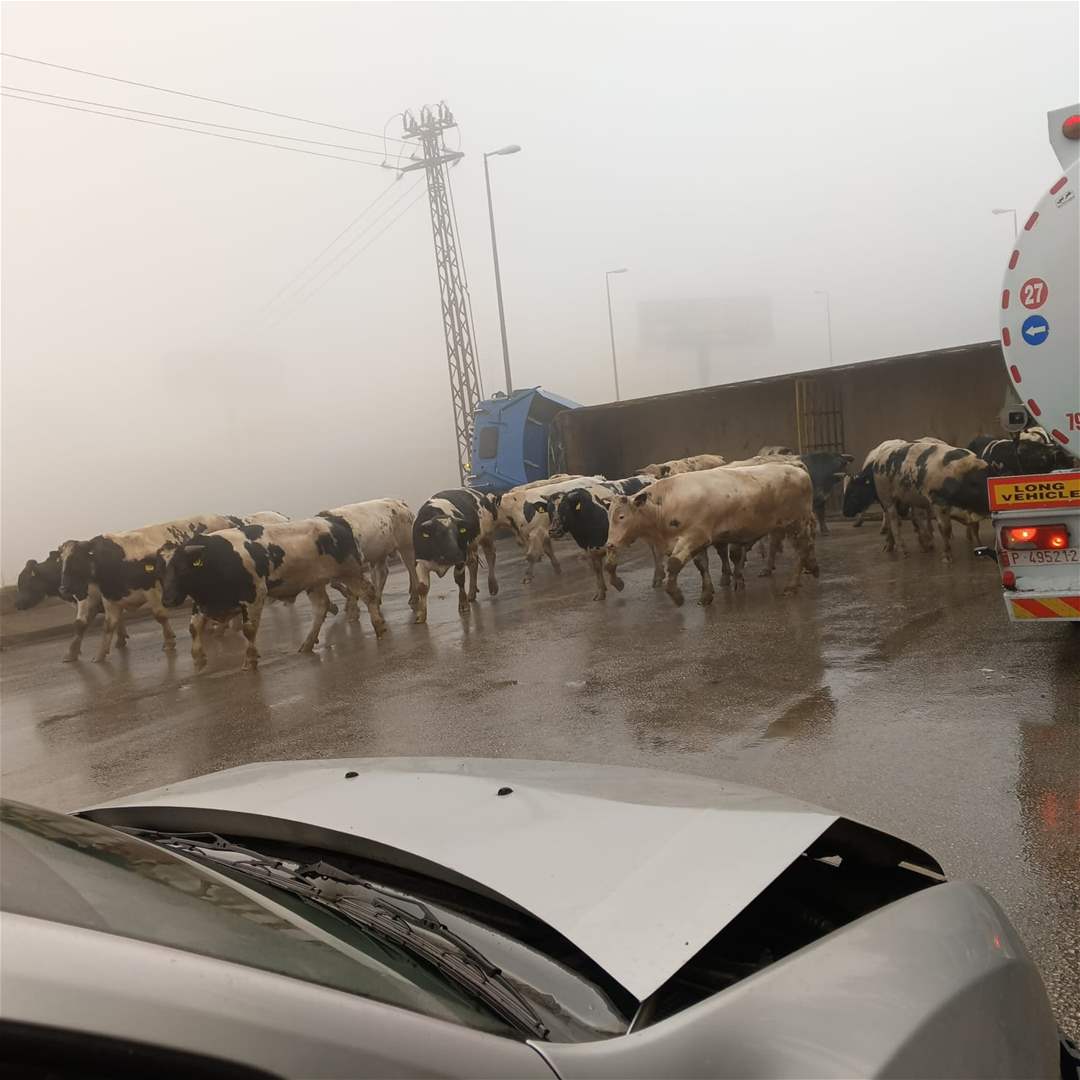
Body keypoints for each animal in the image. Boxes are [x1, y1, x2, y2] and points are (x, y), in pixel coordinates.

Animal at [157, 511, 382, 665]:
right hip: (314, 581)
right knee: (321, 608)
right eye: (161, 574)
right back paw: (307, 644)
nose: (168, 600)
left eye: (183, 569)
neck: (218, 558)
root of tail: (334, 520)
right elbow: (193, 627)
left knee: (368, 593)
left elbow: (249, 630)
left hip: (349, 572)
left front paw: (250, 659)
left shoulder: (255, 594)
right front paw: (199, 660)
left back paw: (380, 626)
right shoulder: (203, 602)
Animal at [410, 490, 498, 626]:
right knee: (473, 563)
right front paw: (420, 615)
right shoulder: (420, 562)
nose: (456, 553)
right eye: (438, 534)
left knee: (490, 556)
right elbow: (422, 587)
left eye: (458, 532)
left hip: (486, 536)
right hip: (471, 546)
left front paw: (463, 604)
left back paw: (492, 584)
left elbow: (459, 579)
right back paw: (471, 593)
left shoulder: (461, 559)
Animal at [609, 460, 816, 604]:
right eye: (609, 517)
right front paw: (706, 595)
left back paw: (792, 584)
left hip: (797, 523)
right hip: (785, 526)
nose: (610, 544)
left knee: (802, 549)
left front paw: (677, 596)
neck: (666, 502)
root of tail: (796, 468)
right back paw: (812, 568)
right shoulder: (699, 541)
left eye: (621, 516)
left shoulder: (693, 537)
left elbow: (674, 564)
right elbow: (702, 566)